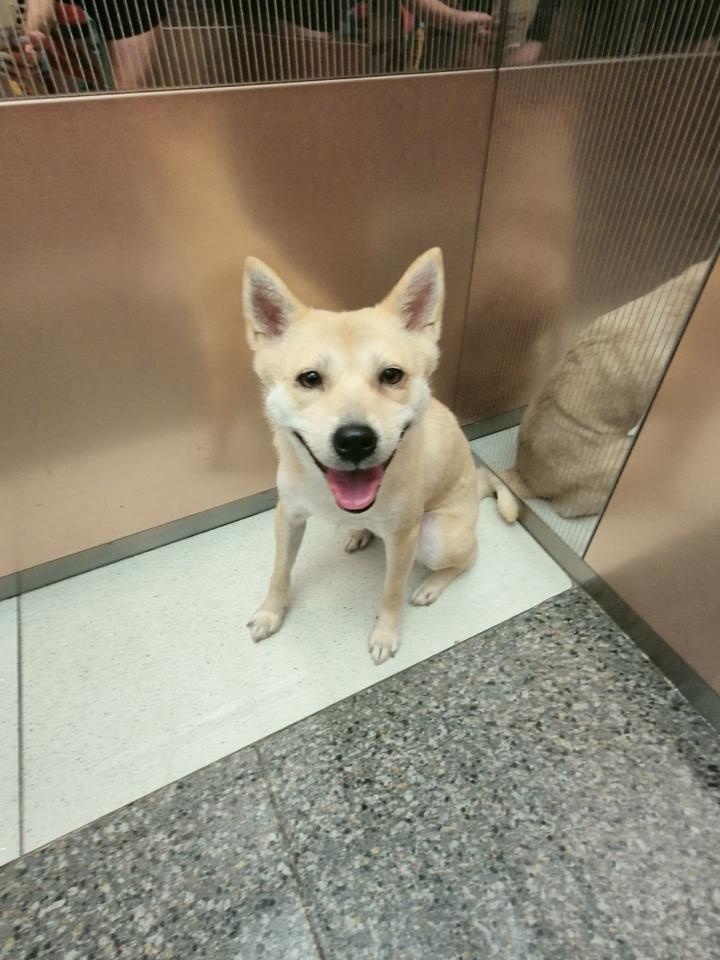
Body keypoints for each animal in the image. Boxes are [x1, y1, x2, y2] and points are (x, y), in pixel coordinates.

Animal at [244, 248, 517, 664]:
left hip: (435, 537)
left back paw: (431, 584)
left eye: (391, 375)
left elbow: (391, 592)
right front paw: (270, 613)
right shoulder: (287, 516)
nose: (355, 440)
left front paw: (385, 635)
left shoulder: (404, 539)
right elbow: (280, 572)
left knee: (468, 558)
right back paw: (359, 533)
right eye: (310, 378)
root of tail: (477, 486)